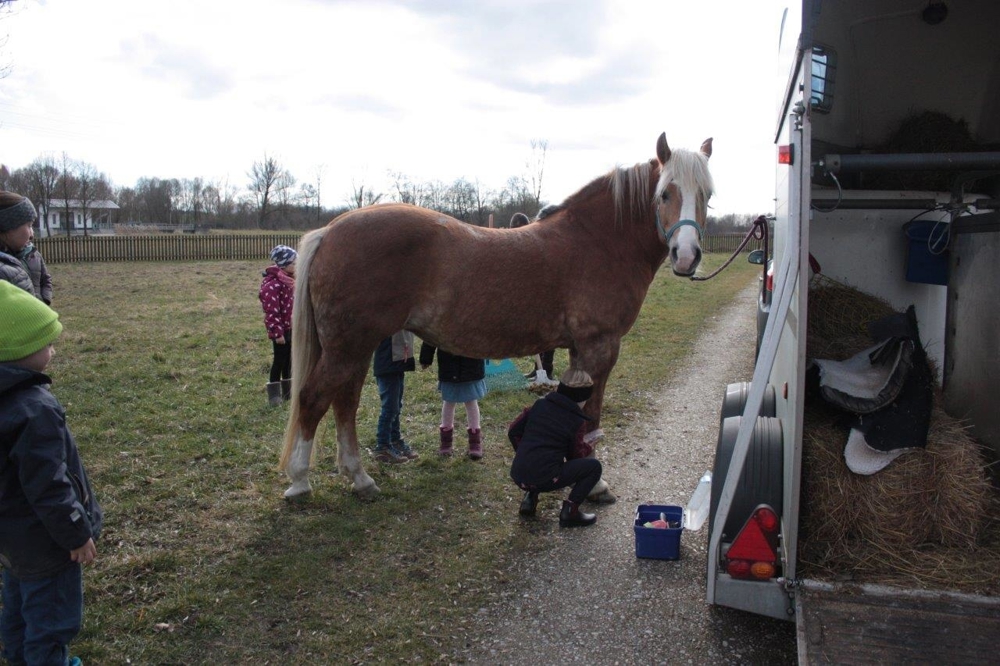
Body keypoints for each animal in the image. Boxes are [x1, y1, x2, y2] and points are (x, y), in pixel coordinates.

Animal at [280, 132, 712, 498]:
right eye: (665, 194)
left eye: (707, 194)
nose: (687, 256)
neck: (598, 241)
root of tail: (331, 231)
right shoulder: (600, 346)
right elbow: (590, 417)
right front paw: (596, 485)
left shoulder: (580, 350)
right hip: (348, 347)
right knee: (314, 399)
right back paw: (300, 483)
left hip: (355, 347)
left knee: (345, 402)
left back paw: (359, 478)